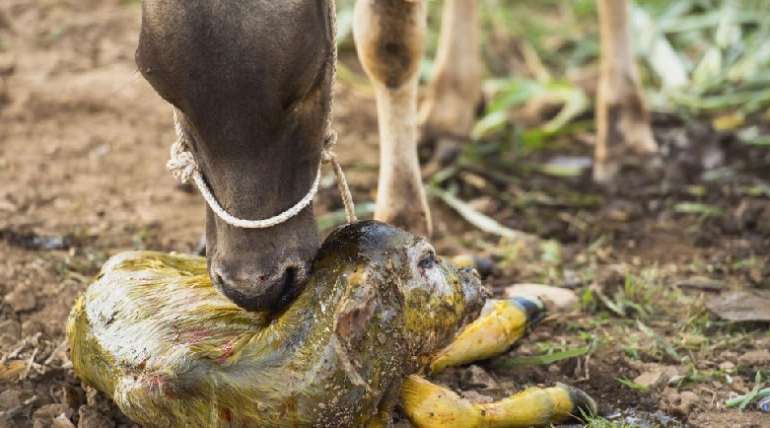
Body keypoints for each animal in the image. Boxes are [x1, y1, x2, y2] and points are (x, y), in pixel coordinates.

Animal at [135, 1, 652, 312]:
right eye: (168, 94)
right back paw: (449, 110)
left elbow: (390, 44)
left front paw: (402, 216)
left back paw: (623, 126)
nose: (254, 286)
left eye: (305, 86)